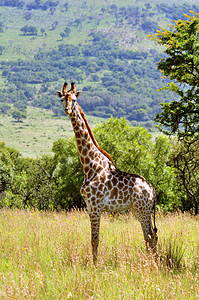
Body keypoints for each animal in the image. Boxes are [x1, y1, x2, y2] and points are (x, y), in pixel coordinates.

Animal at [56, 83, 159, 264]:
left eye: (74, 99)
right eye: (62, 99)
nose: (67, 110)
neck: (90, 166)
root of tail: (152, 190)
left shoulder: (96, 205)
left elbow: (95, 239)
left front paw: (94, 266)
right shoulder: (89, 206)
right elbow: (93, 238)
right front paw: (94, 263)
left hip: (142, 209)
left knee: (149, 236)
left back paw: (151, 264)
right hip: (141, 210)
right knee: (151, 235)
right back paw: (151, 262)